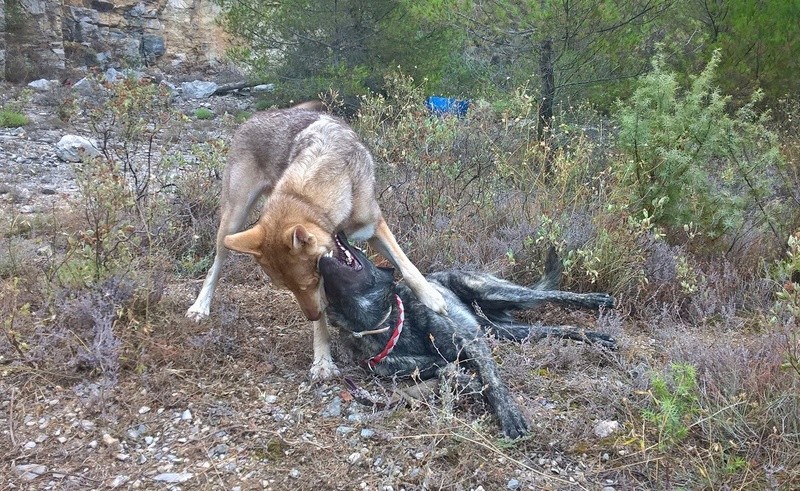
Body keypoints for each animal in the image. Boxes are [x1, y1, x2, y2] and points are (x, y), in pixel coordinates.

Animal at [189, 104, 450, 380]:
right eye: (289, 289)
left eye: (311, 283)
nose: (310, 315)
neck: (308, 199)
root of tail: (258, 116)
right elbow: (322, 320)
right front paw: (323, 361)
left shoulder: (375, 227)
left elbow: (407, 266)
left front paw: (432, 298)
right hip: (232, 223)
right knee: (215, 267)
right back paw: (200, 307)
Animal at [316, 233, 616, 440]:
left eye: (360, 250)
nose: (338, 232)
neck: (385, 322)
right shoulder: (432, 365)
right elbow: (453, 373)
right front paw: (471, 383)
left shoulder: (471, 343)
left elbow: (492, 382)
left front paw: (510, 415)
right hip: (507, 331)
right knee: (556, 329)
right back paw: (595, 337)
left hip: (494, 293)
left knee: (548, 294)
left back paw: (596, 301)